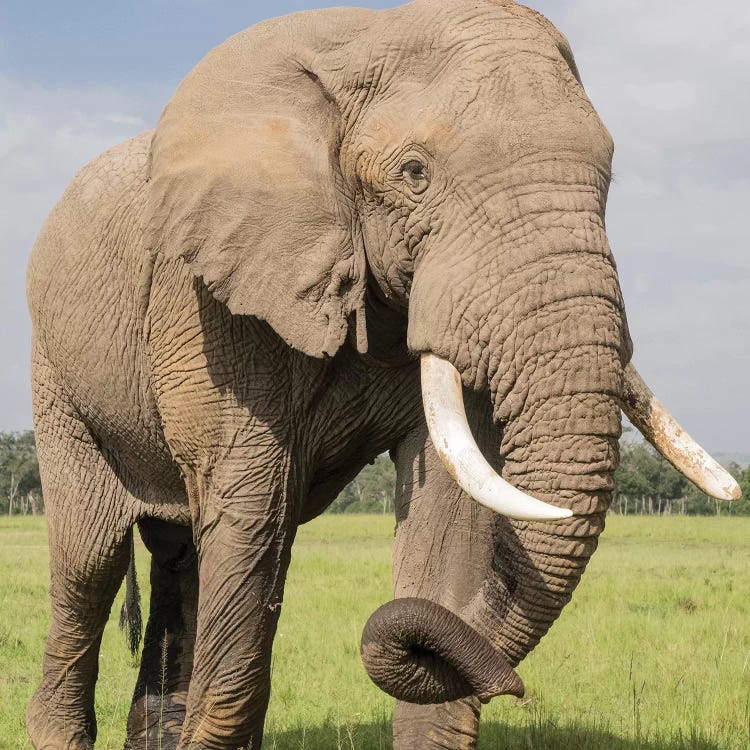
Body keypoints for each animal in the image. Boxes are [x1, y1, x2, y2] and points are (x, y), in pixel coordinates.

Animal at [23, 1, 740, 750]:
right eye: (414, 172)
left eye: (608, 178)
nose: (513, 687)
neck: (363, 35)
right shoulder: (210, 299)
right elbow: (251, 506)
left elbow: (449, 519)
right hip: (55, 369)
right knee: (91, 560)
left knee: (180, 554)